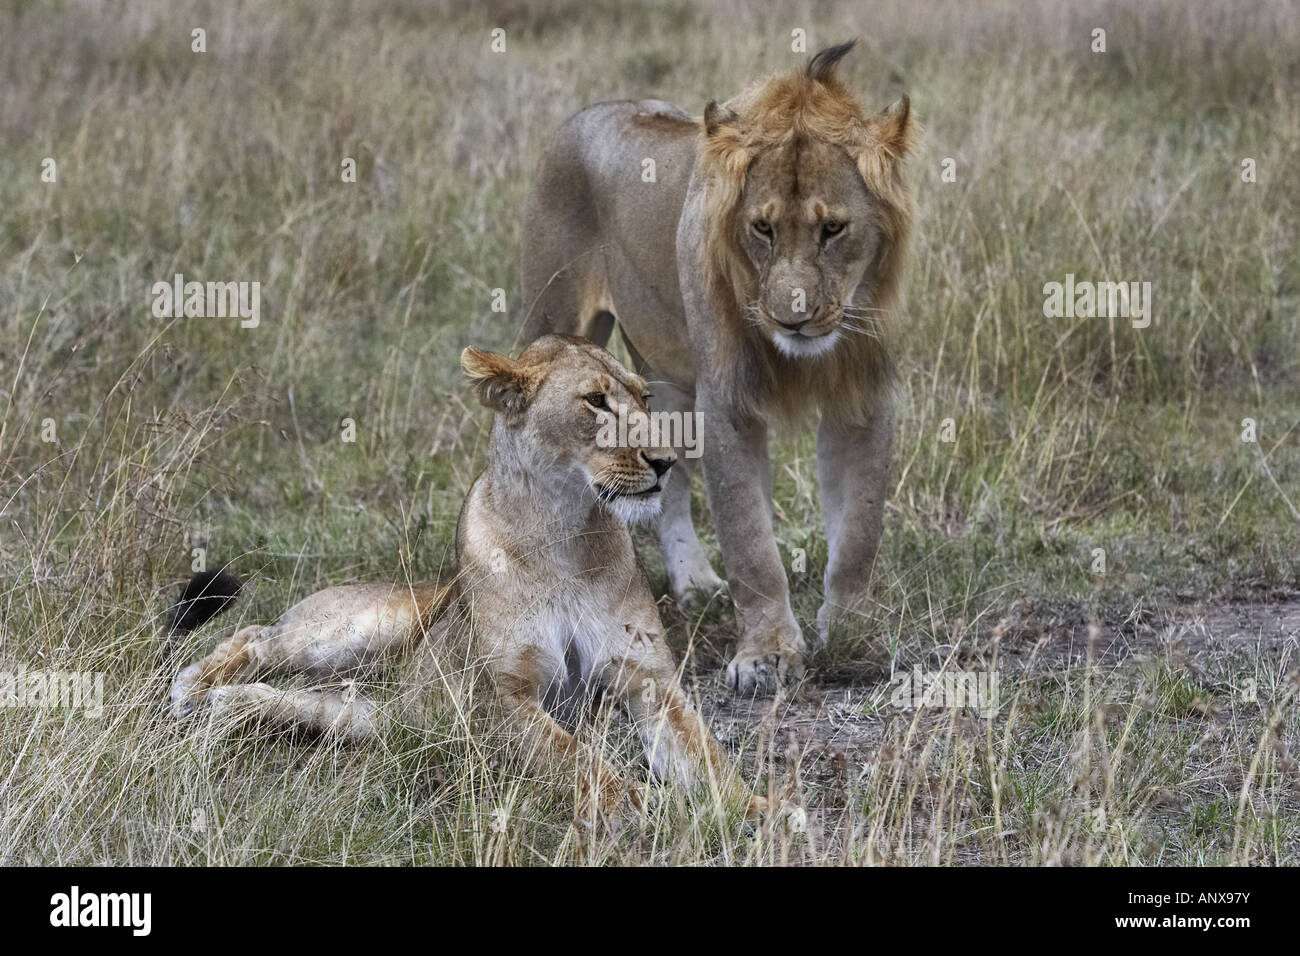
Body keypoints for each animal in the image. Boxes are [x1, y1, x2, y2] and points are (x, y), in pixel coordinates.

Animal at [171, 335, 759, 816]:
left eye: (645, 398)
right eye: (595, 401)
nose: (666, 462)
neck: (565, 532)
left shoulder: (650, 682)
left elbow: (711, 758)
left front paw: (758, 813)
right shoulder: (502, 697)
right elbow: (577, 758)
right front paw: (639, 803)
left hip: (373, 716)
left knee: (300, 700)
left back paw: (232, 703)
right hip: (361, 626)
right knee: (255, 635)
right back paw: (192, 688)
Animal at [517, 41, 915, 697]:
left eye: (833, 229)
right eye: (763, 228)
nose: (793, 320)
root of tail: (590, 112)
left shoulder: (862, 400)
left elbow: (859, 532)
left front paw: (854, 633)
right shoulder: (726, 404)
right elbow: (751, 541)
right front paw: (766, 655)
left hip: (664, 381)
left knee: (667, 482)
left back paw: (695, 584)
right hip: (554, 322)